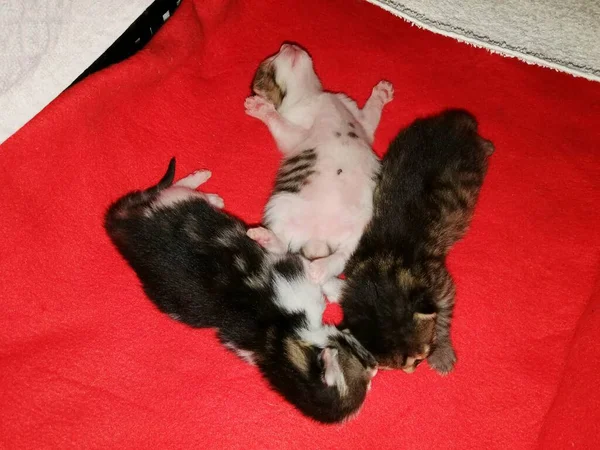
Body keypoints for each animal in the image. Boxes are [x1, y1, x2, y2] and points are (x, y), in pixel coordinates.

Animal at [102, 158, 376, 422]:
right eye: (358, 354)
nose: (374, 364)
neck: (276, 340)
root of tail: (121, 224)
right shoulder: (293, 278)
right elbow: (299, 261)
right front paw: (335, 284)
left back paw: (209, 192)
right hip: (177, 202)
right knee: (170, 190)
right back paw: (203, 183)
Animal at [244, 44, 394, 286]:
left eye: (277, 54)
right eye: (270, 62)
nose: (288, 45)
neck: (312, 95)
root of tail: (318, 240)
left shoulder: (361, 122)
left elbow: (370, 117)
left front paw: (380, 94)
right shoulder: (294, 137)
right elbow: (281, 124)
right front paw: (263, 109)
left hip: (362, 228)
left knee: (342, 256)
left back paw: (321, 268)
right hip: (281, 205)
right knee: (283, 246)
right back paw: (266, 237)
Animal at [330, 110, 494, 374]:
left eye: (420, 357)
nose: (414, 370)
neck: (383, 265)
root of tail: (449, 121)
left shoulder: (439, 281)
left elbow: (444, 313)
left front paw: (442, 352)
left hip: (473, 160)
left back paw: (487, 145)